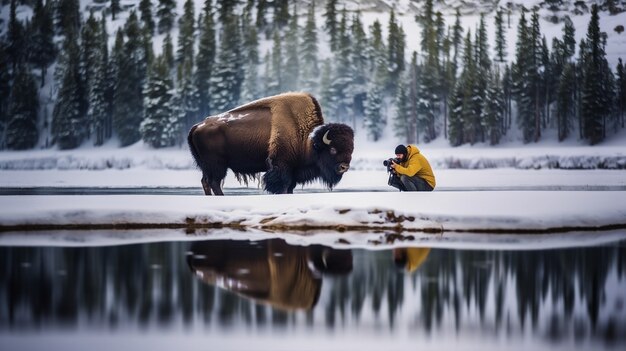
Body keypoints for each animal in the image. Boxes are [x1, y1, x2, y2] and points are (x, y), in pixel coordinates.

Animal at [185, 93, 354, 195]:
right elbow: (283, 185)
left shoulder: (293, 171)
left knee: (206, 182)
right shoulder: (281, 166)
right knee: (214, 182)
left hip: (206, 166)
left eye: (351, 149)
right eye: (332, 149)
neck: (307, 139)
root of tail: (197, 126)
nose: (344, 167)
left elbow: (290, 187)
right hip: (217, 166)